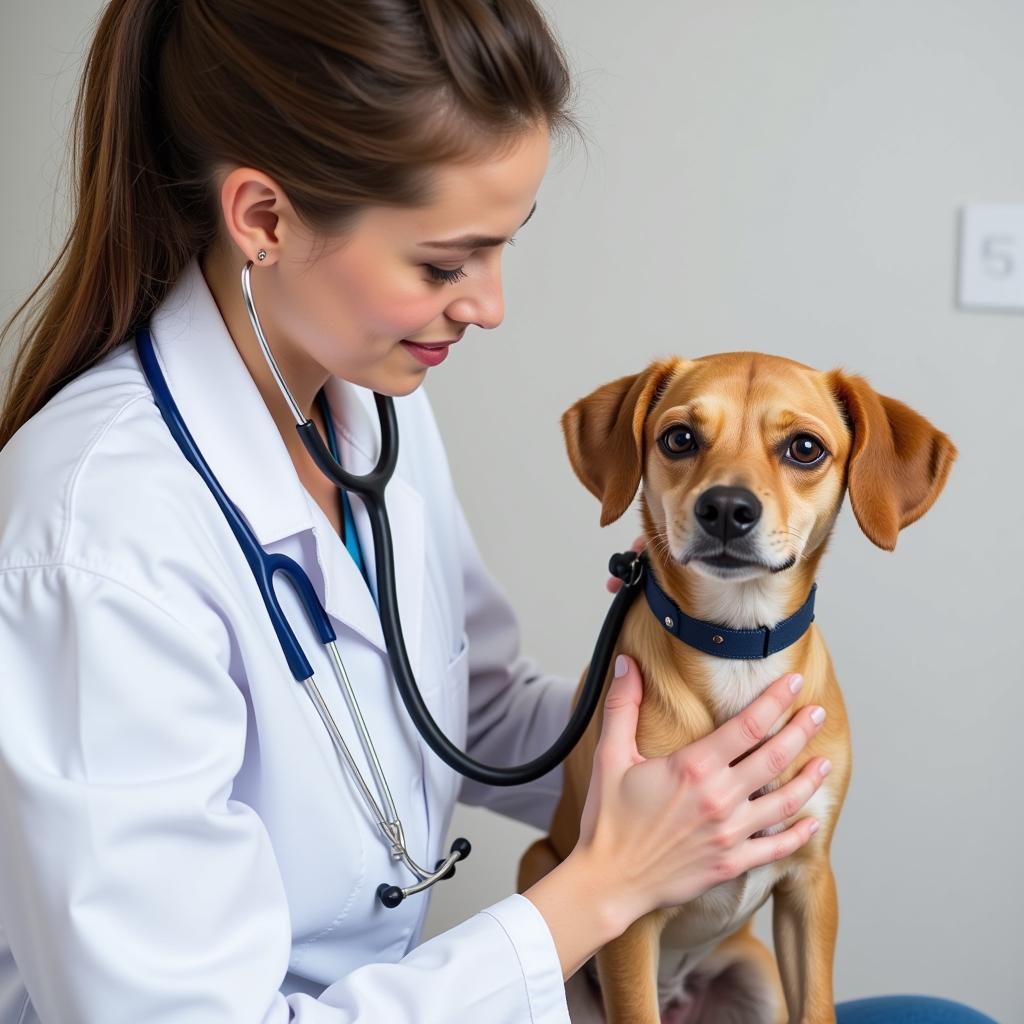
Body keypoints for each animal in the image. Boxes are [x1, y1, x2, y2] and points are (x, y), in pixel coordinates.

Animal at [520, 354, 958, 1024]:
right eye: (679, 438)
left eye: (805, 448)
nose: (726, 507)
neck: (738, 647)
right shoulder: (629, 924)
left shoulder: (811, 881)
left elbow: (819, 1005)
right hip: (540, 876)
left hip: (758, 978)